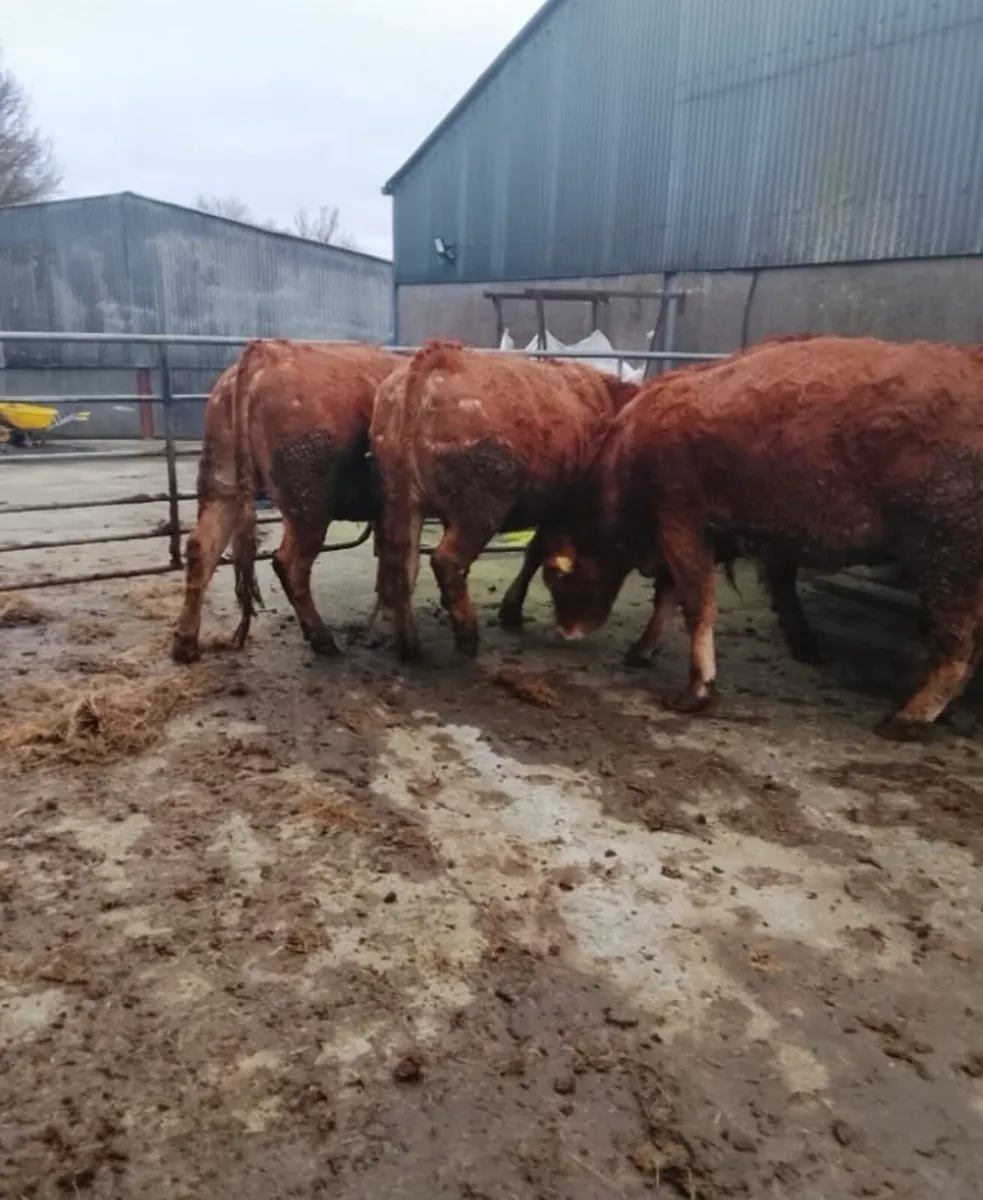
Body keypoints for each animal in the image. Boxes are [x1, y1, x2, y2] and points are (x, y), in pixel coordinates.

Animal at [171, 339, 398, 664]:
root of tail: (266, 350)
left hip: (222, 487)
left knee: (201, 547)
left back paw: (185, 643)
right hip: (308, 504)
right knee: (289, 563)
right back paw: (322, 638)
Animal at [370, 340, 639, 661]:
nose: (575, 630)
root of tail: (436, 356)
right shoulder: (562, 510)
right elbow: (537, 550)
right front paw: (511, 609)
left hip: (402, 500)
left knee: (401, 561)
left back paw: (409, 644)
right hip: (479, 511)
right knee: (447, 561)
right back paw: (467, 637)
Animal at [539, 334, 983, 740]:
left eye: (555, 575)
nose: (565, 630)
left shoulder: (681, 524)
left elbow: (696, 605)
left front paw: (697, 689)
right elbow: (667, 595)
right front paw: (644, 649)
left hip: (947, 556)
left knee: (958, 646)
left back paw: (912, 716)